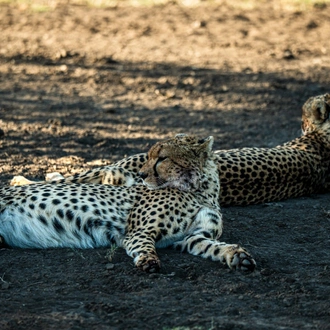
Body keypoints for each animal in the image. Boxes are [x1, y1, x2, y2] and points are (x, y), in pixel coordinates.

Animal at [0, 134, 256, 274]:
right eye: (149, 156)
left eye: (162, 158)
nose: (141, 175)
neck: (200, 190)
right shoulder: (139, 232)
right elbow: (145, 246)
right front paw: (148, 261)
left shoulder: (191, 238)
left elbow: (214, 246)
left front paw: (236, 256)